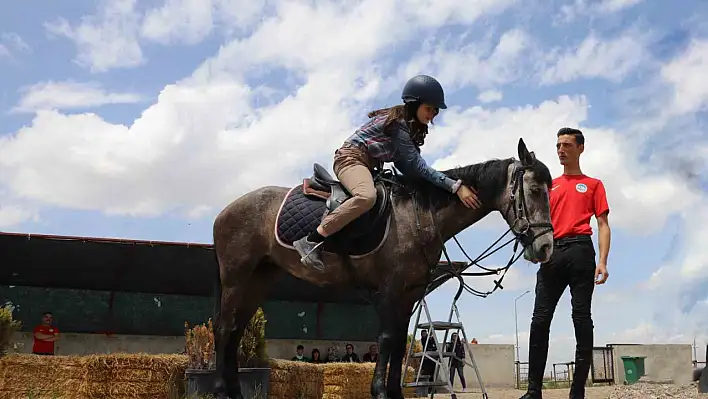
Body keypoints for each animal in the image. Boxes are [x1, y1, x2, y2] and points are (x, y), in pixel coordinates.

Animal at [210, 138, 552, 399]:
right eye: (535, 190)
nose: (546, 247)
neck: (418, 215)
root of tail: (225, 211)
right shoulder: (390, 289)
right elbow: (386, 339)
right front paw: (379, 391)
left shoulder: (409, 295)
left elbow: (399, 344)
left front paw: (395, 391)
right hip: (236, 279)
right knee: (224, 328)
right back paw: (220, 390)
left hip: (257, 280)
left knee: (236, 330)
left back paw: (235, 392)